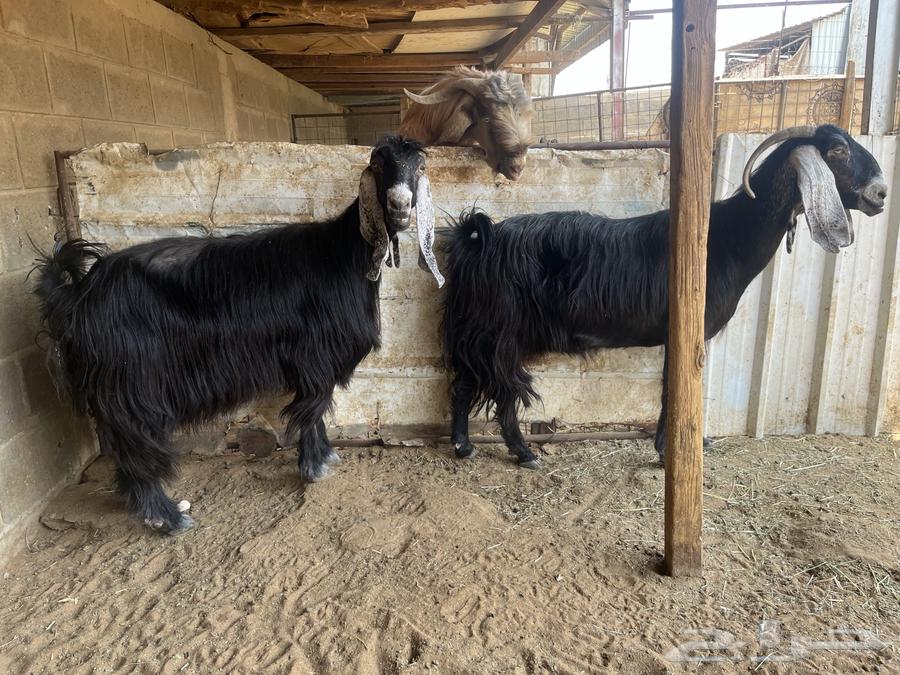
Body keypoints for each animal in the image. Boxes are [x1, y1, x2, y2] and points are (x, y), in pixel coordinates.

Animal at [34, 135, 444, 533]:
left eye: (420, 166)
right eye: (377, 163)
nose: (399, 206)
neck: (341, 253)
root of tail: (77, 293)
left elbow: (317, 406)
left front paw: (325, 456)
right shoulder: (314, 354)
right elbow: (313, 406)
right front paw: (314, 467)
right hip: (132, 383)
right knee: (136, 444)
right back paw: (166, 517)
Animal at [442, 125, 888, 468]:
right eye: (837, 150)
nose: (880, 193)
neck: (726, 238)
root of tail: (479, 238)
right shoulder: (688, 330)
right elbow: (673, 389)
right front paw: (667, 451)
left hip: (477, 330)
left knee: (464, 383)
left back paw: (464, 446)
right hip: (501, 330)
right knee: (501, 391)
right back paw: (524, 453)